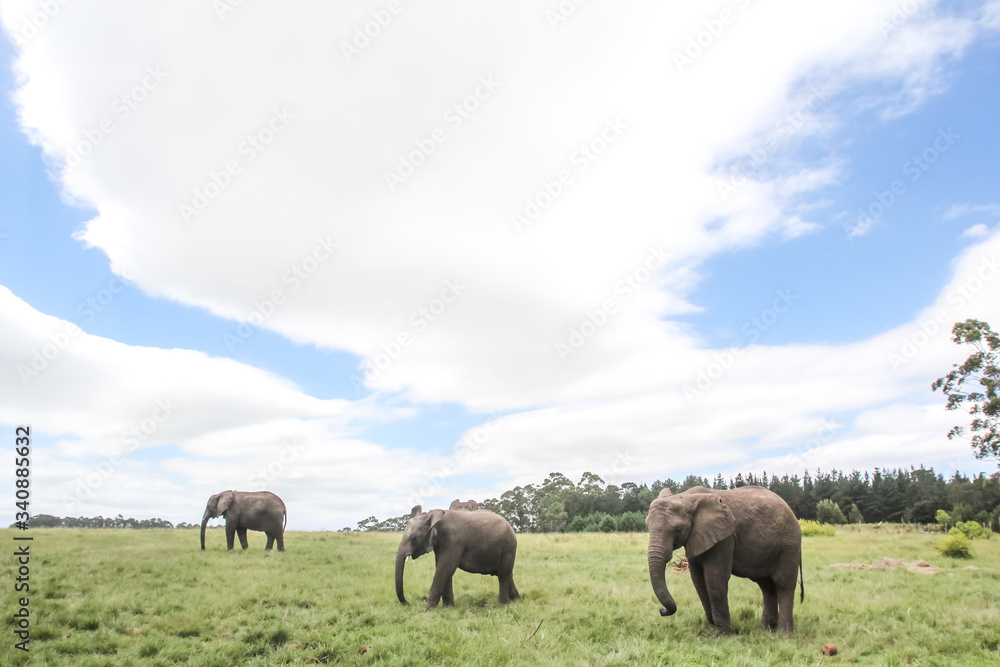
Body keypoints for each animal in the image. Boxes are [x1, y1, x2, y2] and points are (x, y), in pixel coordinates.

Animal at [646, 485, 803, 635]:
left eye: (678, 529)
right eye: (647, 527)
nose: (661, 611)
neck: (686, 497)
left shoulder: (725, 537)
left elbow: (715, 579)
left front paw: (722, 636)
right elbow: (698, 580)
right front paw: (712, 626)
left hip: (789, 546)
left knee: (783, 584)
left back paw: (783, 634)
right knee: (767, 586)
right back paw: (767, 629)